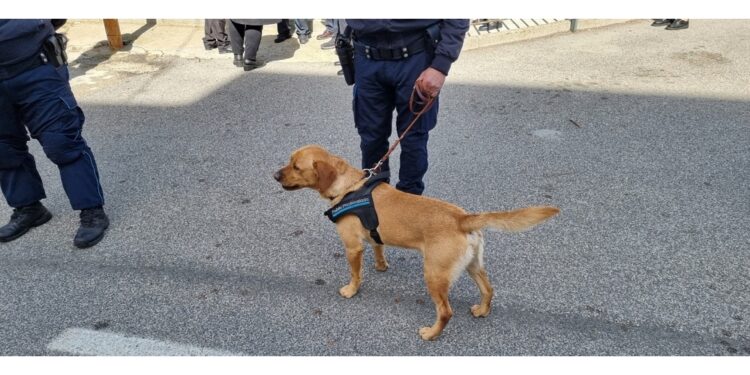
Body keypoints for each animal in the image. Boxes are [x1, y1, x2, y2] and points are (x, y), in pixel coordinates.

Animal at [274, 145, 560, 342]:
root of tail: (463, 218)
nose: (275, 175)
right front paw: (381, 266)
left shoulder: (353, 247)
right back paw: (482, 311)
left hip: (434, 274)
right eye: (290, 161)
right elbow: (379, 249)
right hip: (473, 266)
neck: (349, 187)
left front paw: (351, 290)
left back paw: (431, 334)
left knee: (445, 312)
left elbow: (355, 274)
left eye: (296, 167)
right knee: (488, 290)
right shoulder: (374, 236)